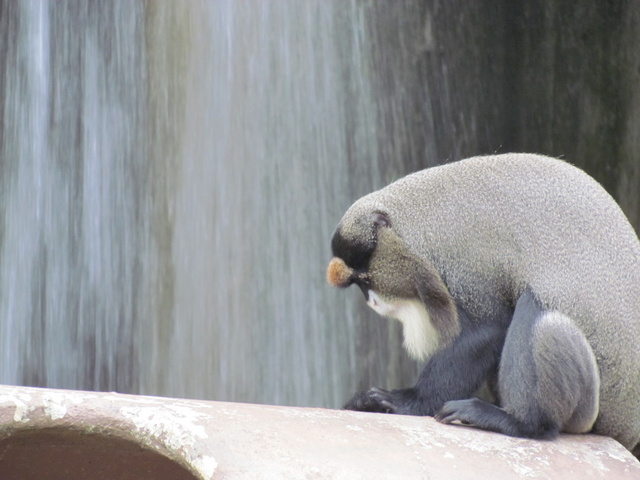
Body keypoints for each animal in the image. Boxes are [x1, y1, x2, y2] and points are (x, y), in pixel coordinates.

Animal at [328, 153, 640, 454]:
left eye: (365, 280)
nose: (372, 301)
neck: (415, 218)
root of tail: (625, 429)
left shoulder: (462, 261)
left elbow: (486, 330)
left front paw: (404, 401)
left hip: (586, 414)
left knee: (538, 313)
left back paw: (522, 423)